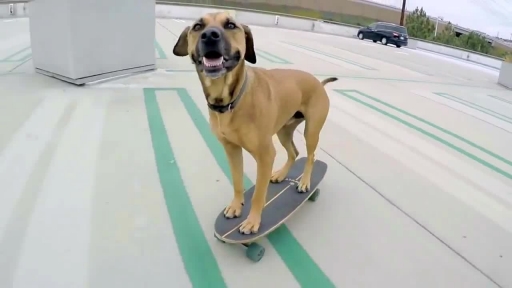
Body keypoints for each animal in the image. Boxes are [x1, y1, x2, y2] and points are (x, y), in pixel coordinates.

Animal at [174, 12, 338, 235]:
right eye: (198, 26)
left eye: (231, 25)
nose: (209, 36)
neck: (230, 101)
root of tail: (318, 83)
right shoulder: (231, 149)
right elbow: (237, 181)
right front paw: (236, 206)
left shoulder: (265, 155)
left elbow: (259, 195)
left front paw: (253, 222)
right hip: (283, 131)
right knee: (294, 152)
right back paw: (281, 175)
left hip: (311, 131)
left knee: (311, 156)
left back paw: (304, 183)